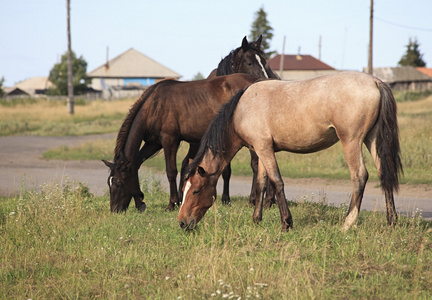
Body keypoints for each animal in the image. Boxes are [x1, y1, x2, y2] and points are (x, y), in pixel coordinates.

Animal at [177, 71, 404, 231]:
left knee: (359, 176)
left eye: (196, 190)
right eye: (184, 190)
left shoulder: (264, 149)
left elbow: (276, 182)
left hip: (351, 141)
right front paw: (256, 220)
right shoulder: (261, 150)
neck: (240, 110)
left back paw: (348, 223)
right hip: (371, 139)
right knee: (383, 173)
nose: (181, 222)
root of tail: (375, 81)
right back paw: (391, 220)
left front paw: (286, 222)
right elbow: (261, 184)